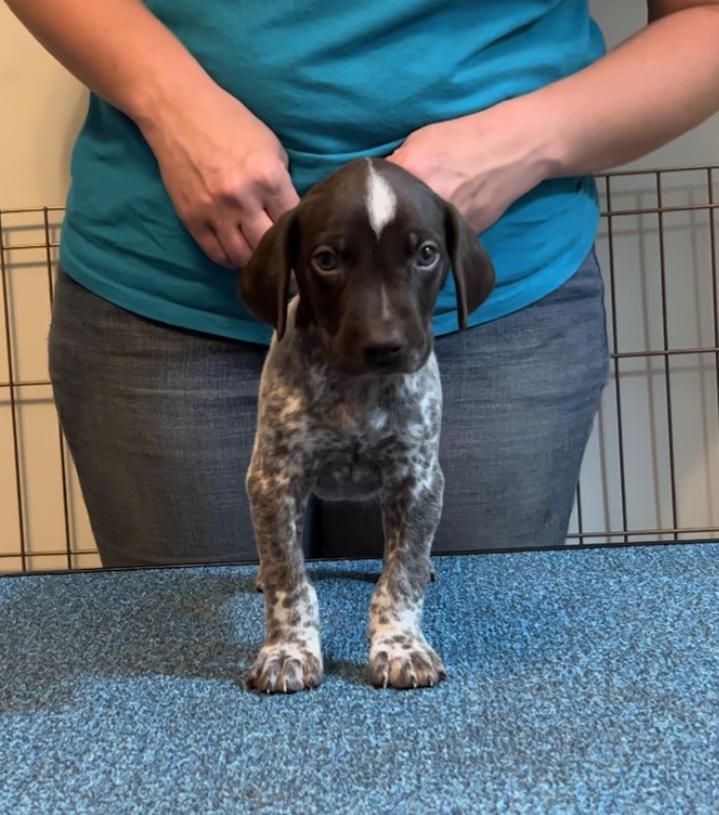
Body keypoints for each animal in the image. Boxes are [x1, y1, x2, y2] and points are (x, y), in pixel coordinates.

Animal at [238, 157, 494, 692]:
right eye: (326, 260)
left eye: (425, 254)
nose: (385, 345)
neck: (357, 392)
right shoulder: (274, 480)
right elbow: (289, 578)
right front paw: (287, 650)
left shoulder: (418, 482)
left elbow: (401, 576)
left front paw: (400, 645)